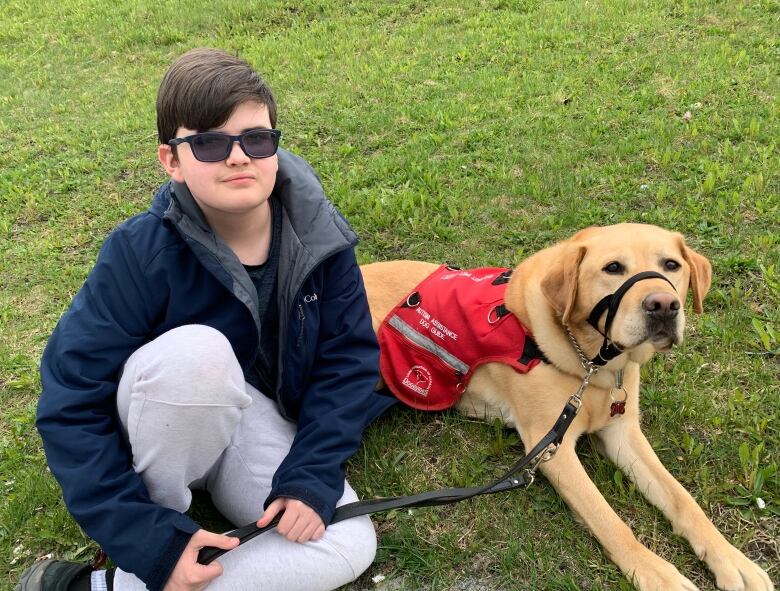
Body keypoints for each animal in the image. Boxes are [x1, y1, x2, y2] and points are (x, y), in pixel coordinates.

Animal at [362, 223, 772, 591]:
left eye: (671, 264)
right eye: (612, 268)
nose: (663, 306)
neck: (594, 366)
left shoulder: (622, 434)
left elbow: (683, 500)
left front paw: (732, 560)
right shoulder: (551, 448)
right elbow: (610, 521)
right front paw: (658, 576)